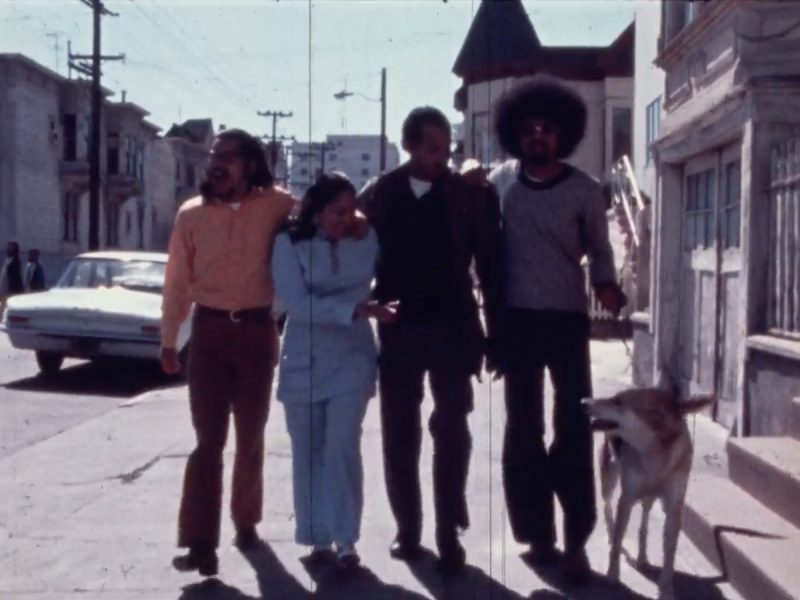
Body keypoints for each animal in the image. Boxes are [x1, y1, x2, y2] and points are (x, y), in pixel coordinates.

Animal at [580, 386, 712, 596]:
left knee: (644, 520)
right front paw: (612, 576)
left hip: (648, 497)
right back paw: (613, 535)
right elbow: (617, 542)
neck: (654, 454)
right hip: (609, 480)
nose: (583, 402)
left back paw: (642, 557)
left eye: (618, 401)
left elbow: (669, 551)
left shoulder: (674, 507)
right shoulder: (626, 499)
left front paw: (666, 589)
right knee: (607, 508)